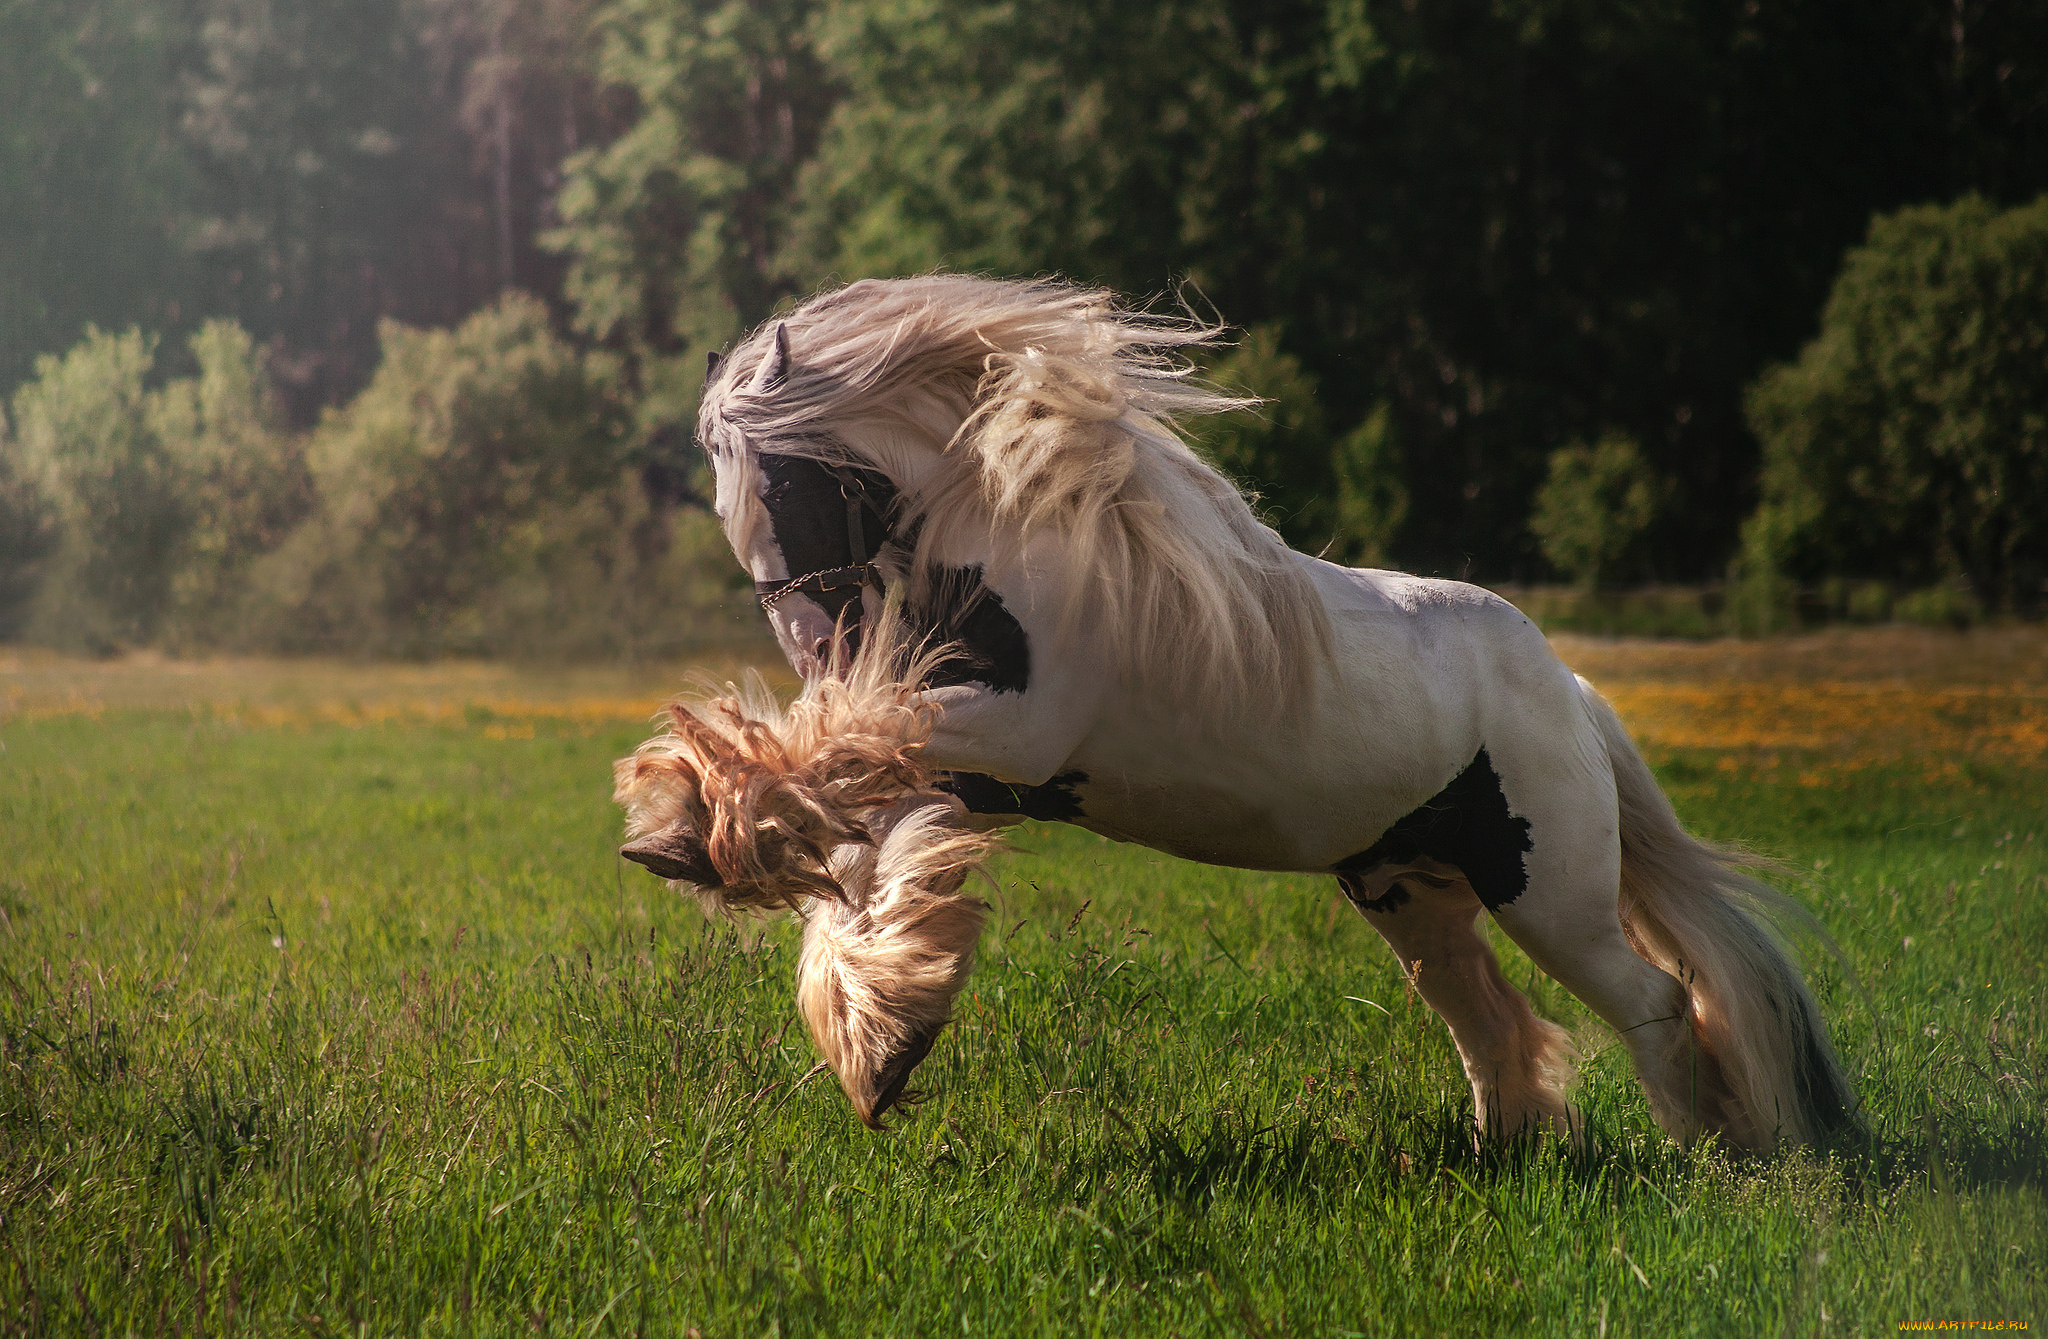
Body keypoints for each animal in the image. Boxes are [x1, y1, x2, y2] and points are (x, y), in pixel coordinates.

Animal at [606, 276, 1859, 1154]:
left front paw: (686, 829)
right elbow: (868, 858)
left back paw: (1707, 1156)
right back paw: (1502, 1154)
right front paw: (878, 1035)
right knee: (1485, 1018)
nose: (818, 651)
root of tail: (1571, 694)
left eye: (782, 481)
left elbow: (834, 787)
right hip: (1407, 892)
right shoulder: (969, 765)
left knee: (1653, 999)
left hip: (1547, 893)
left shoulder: (1003, 731)